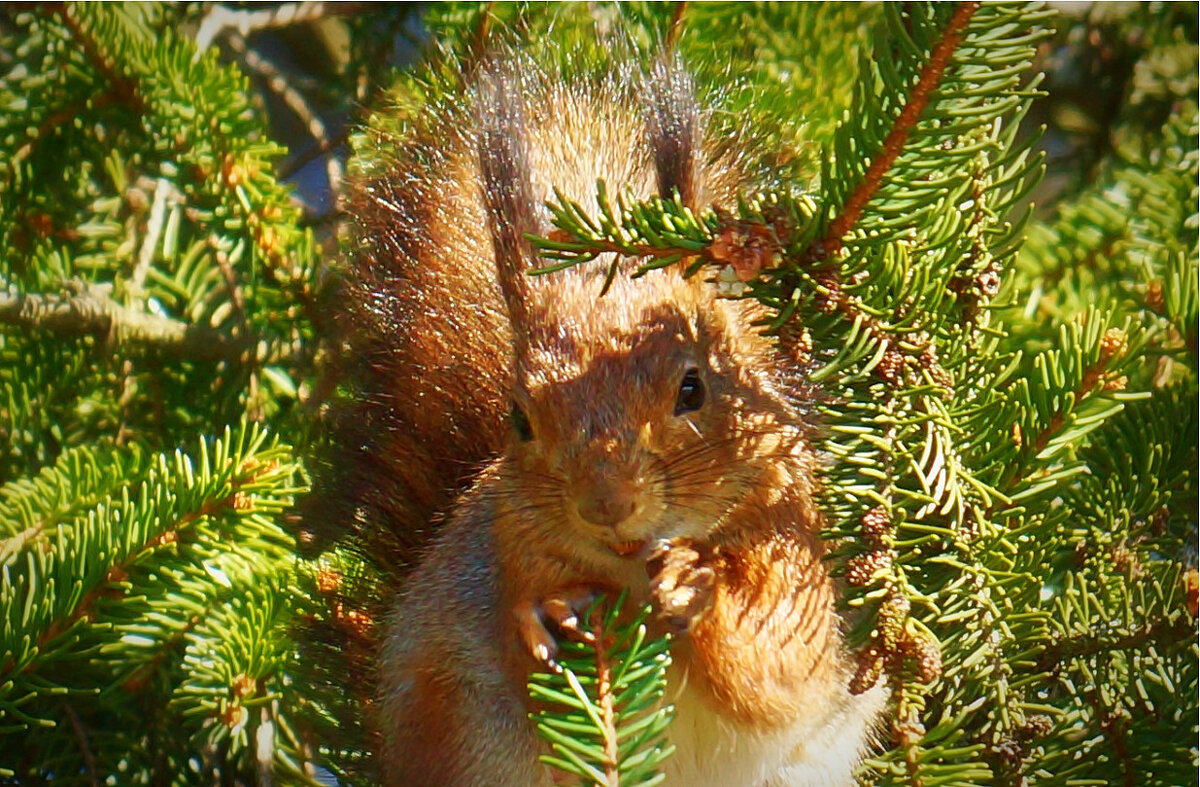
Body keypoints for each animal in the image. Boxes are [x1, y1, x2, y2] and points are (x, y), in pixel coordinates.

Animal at [324, 49, 888, 787]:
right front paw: (547, 615)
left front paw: (698, 590)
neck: (631, 575)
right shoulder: (500, 553)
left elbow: (777, 671)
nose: (607, 506)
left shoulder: (800, 556)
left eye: (692, 388)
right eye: (520, 419)